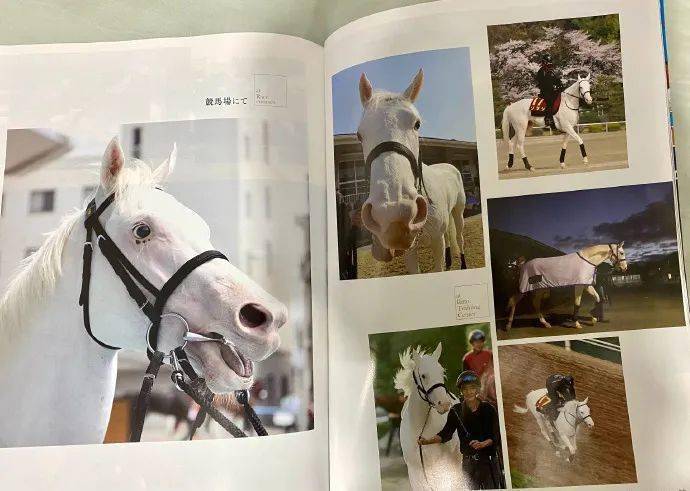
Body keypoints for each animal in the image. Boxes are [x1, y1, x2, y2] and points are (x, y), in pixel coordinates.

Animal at [357, 69, 468, 274]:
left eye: (417, 124)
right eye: (359, 135)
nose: (392, 215)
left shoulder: (436, 243)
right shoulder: (410, 251)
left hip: (458, 212)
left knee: (459, 237)